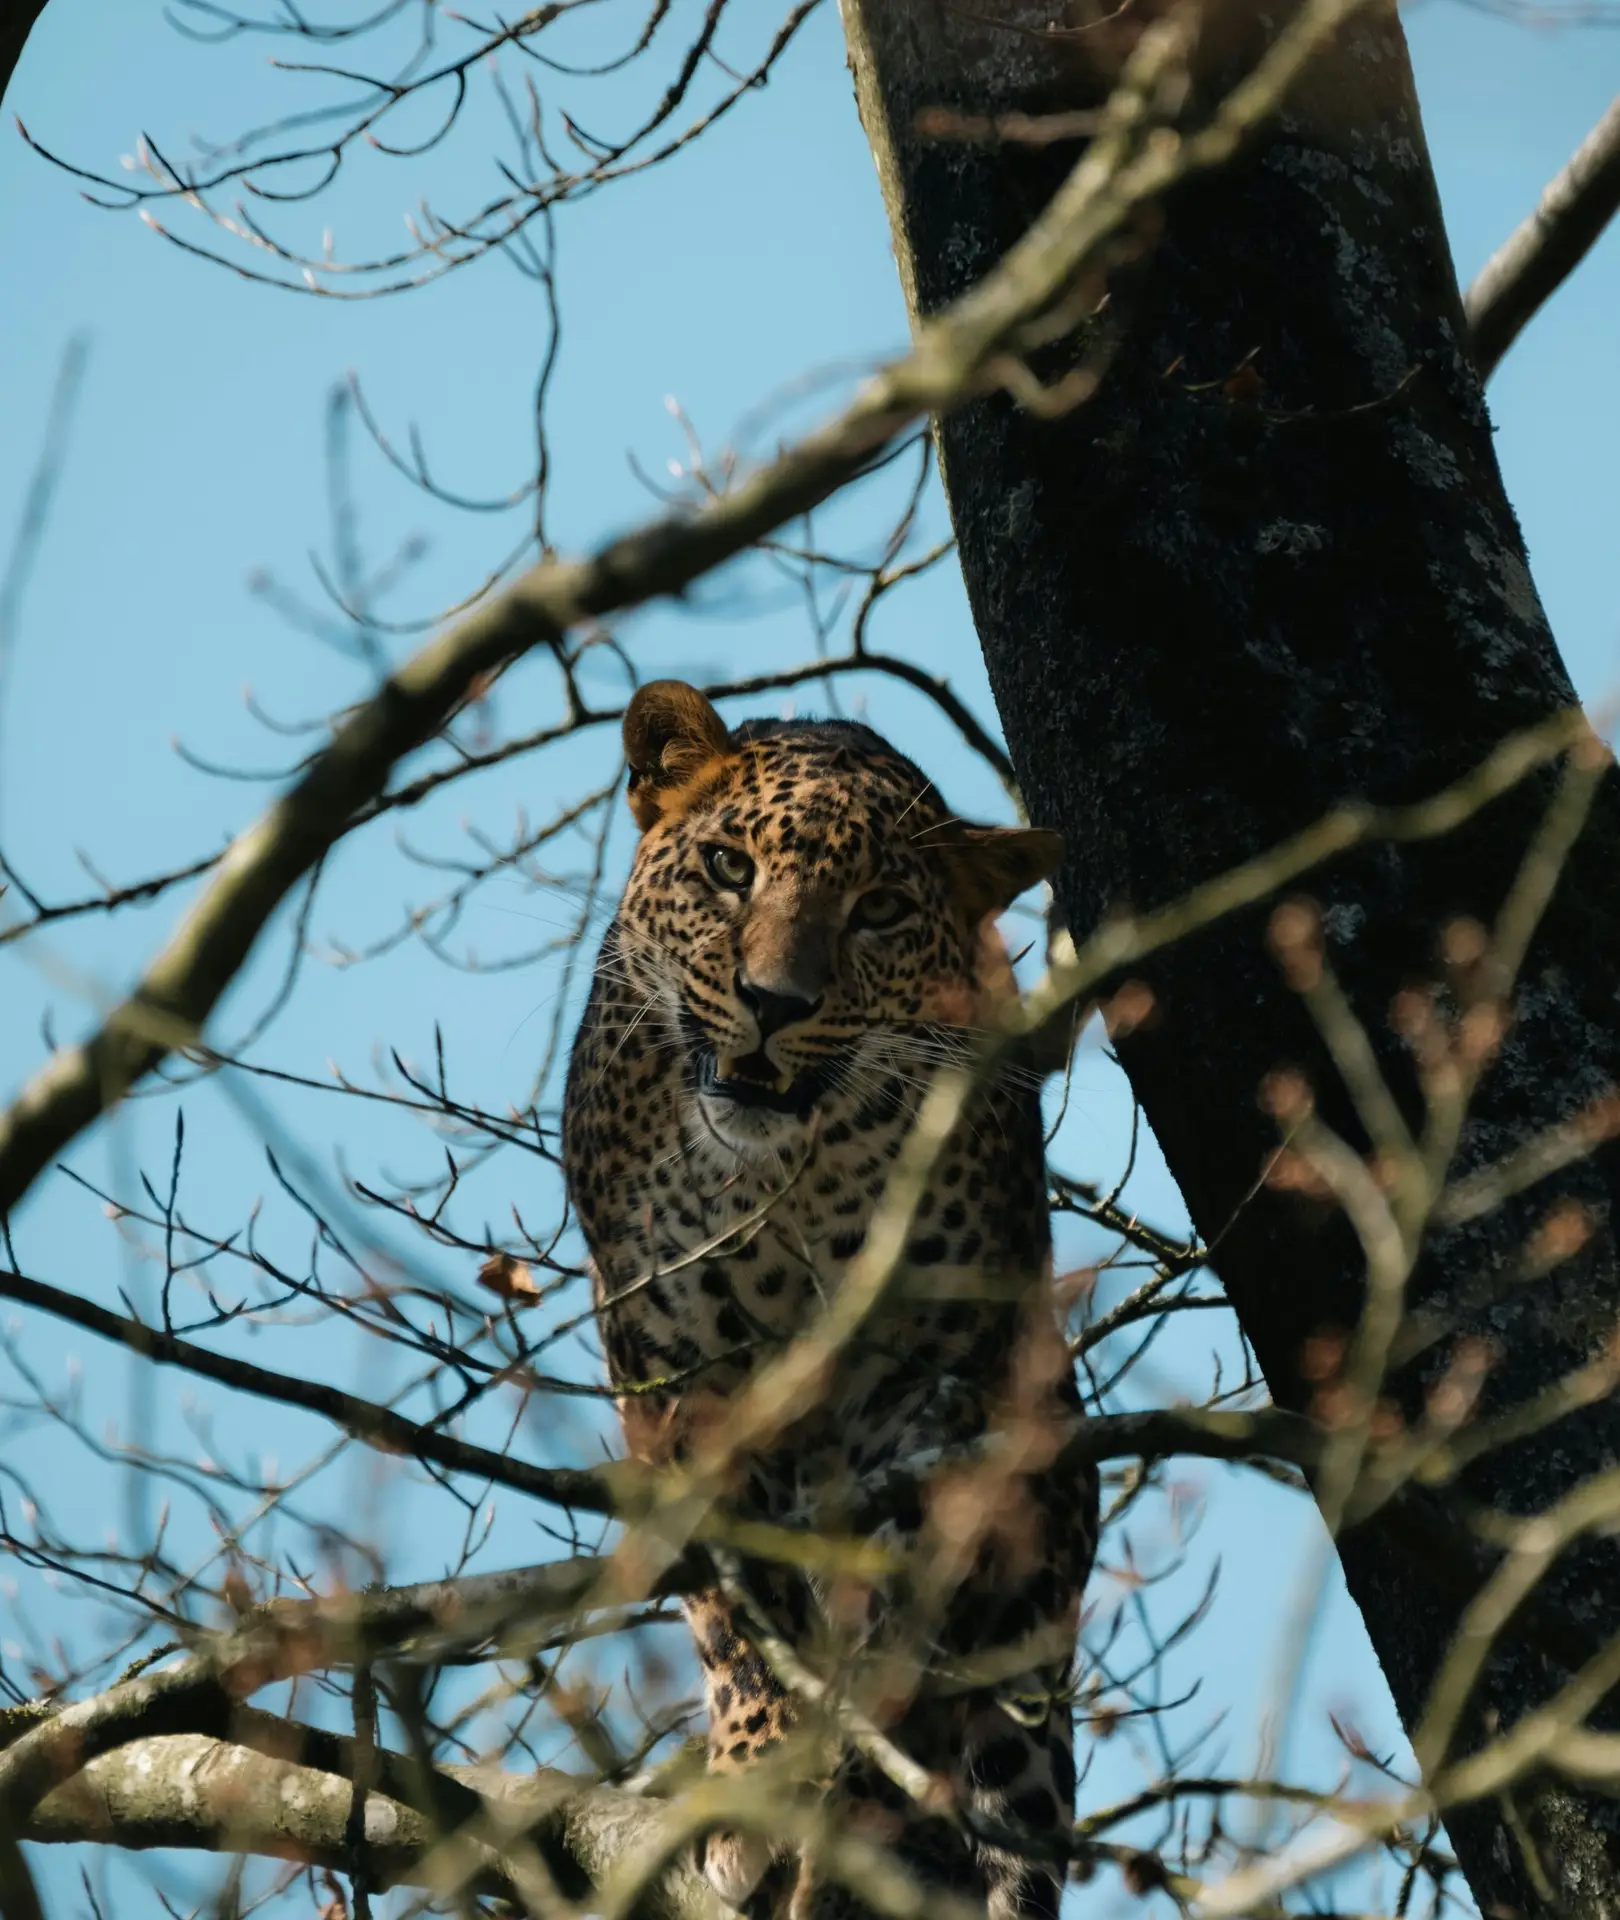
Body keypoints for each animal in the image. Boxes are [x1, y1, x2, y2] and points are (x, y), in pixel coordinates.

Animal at [563, 681, 1098, 1920]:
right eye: (727, 866)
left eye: (881, 910)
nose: (772, 1002)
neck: (779, 1179)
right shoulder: (670, 1374)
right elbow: (736, 1609)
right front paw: (760, 1772)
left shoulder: (934, 1380)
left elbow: (899, 1599)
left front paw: (851, 1781)